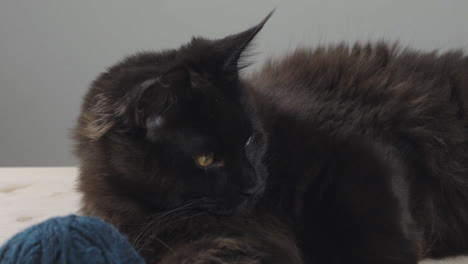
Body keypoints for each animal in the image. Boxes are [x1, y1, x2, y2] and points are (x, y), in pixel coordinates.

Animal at [74, 12, 468, 264]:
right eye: (206, 159)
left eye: (250, 141)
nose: (252, 184)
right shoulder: (209, 243)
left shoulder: (358, 150)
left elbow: (375, 236)